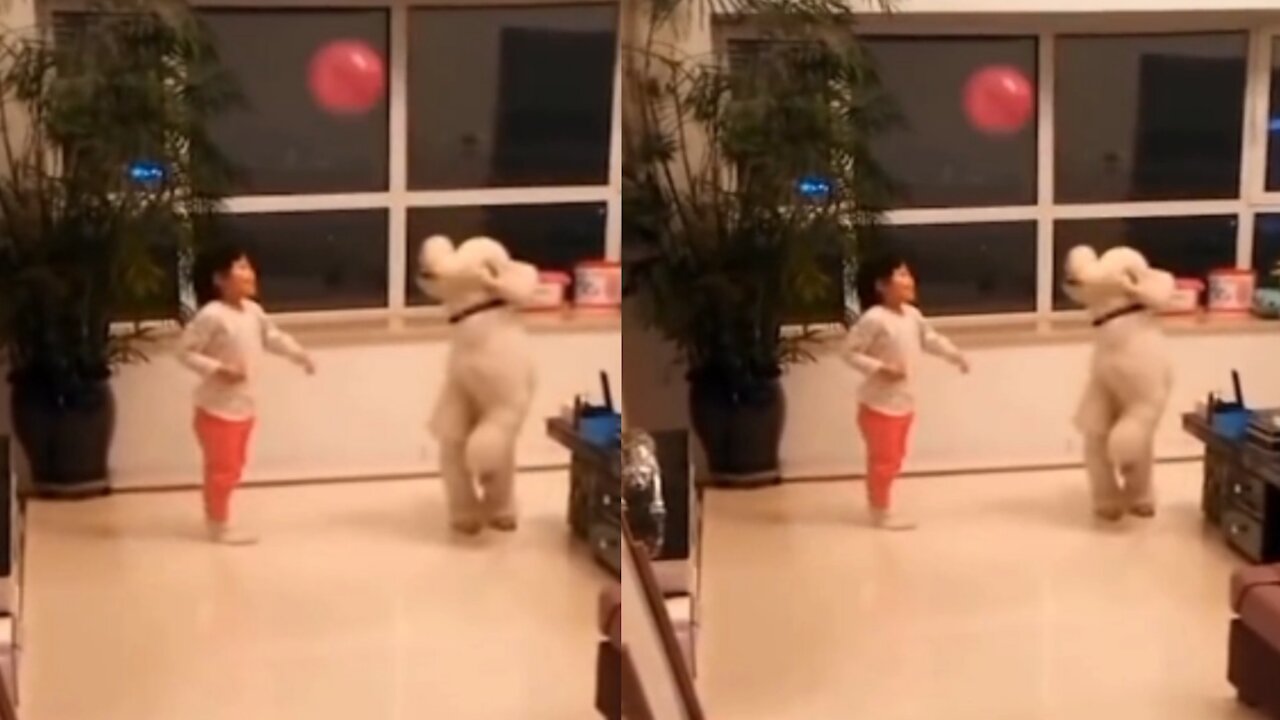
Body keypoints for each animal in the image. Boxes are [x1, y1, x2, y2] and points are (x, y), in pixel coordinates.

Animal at [417, 234, 537, 532]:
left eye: (459, 253)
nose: (428, 250)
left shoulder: (506, 402)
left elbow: (486, 437)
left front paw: (476, 459)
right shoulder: (458, 387)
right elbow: (452, 418)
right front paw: (450, 432)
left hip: (505, 472)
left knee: (498, 492)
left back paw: (502, 516)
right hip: (454, 477)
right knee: (461, 492)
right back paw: (467, 520)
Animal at [1064, 243, 1172, 517]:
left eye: (1102, 261)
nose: (1071, 265)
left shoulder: (1145, 398)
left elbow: (1127, 431)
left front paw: (1117, 450)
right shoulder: (1101, 384)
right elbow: (1096, 412)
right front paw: (1093, 426)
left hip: (1144, 465)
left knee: (1137, 481)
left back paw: (1142, 503)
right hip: (1097, 468)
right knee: (1104, 481)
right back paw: (1109, 507)